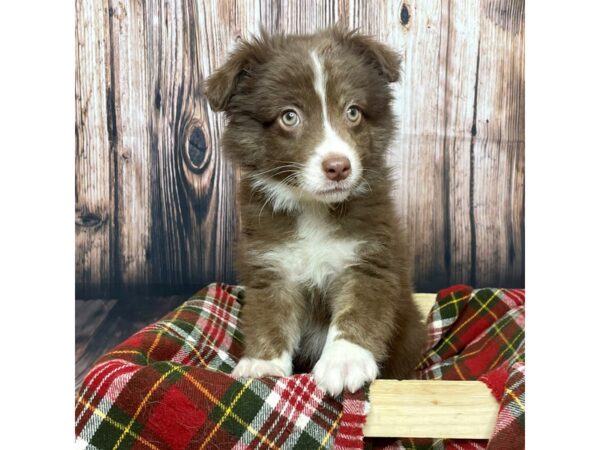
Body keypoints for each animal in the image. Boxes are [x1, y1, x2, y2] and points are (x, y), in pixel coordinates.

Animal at [206, 26, 426, 396]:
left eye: (352, 111)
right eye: (289, 116)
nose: (338, 167)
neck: (314, 209)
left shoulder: (369, 257)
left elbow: (359, 308)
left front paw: (345, 362)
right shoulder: (270, 262)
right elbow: (270, 314)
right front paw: (263, 363)